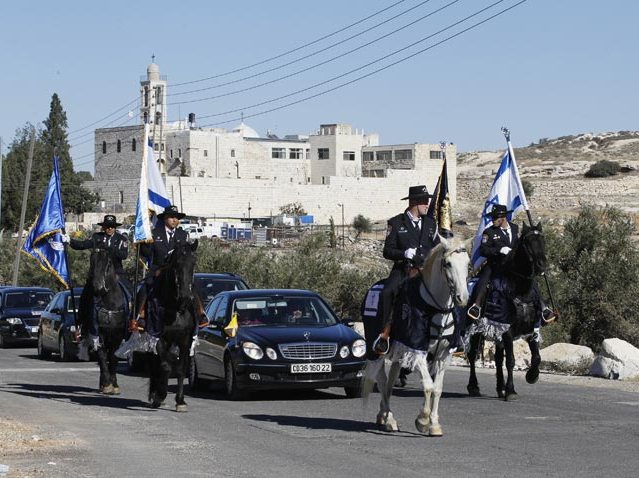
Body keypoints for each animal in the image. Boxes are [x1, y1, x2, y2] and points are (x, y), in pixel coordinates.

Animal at [84, 248, 131, 394]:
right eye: (91, 261)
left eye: (108, 263)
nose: (97, 286)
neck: (110, 303)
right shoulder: (98, 333)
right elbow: (102, 357)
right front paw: (106, 384)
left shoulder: (118, 335)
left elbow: (113, 357)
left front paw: (114, 385)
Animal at [148, 241, 198, 412]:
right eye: (176, 264)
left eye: (193, 263)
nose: (186, 296)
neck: (175, 308)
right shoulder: (159, 339)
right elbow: (165, 366)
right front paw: (159, 395)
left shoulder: (185, 341)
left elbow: (181, 368)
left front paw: (180, 401)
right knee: (157, 364)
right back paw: (155, 394)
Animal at [370, 235, 470, 436]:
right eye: (448, 263)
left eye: (468, 264)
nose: (463, 298)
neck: (435, 308)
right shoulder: (416, 350)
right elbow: (428, 385)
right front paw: (423, 420)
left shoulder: (443, 355)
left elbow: (437, 388)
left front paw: (435, 424)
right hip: (378, 351)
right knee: (383, 382)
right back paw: (388, 418)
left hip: (398, 354)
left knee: (390, 382)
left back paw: (384, 416)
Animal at [464, 222, 552, 402]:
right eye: (527, 242)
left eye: (543, 240)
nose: (542, 265)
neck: (519, 290)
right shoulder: (507, 330)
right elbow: (510, 360)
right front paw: (511, 391)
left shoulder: (531, 329)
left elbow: (536, 357)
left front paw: (532, 376)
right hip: (475, 329)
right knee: (472, 355)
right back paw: (474, 386)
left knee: (498, 359)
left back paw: (500, 388)